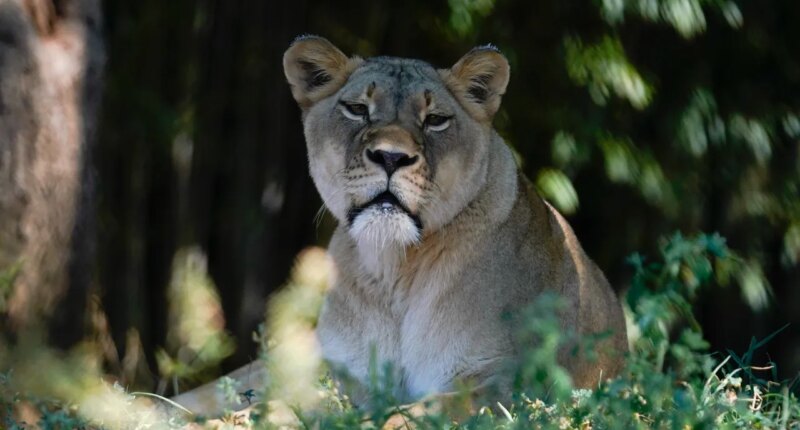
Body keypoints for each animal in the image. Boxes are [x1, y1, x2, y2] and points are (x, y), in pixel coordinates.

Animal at [170, 36, 627, 417]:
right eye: (357, 109)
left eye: (436, 120)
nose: (391, 157)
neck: (395, 269)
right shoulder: (343, 374)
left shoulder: (509, 383)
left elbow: (409, 413)